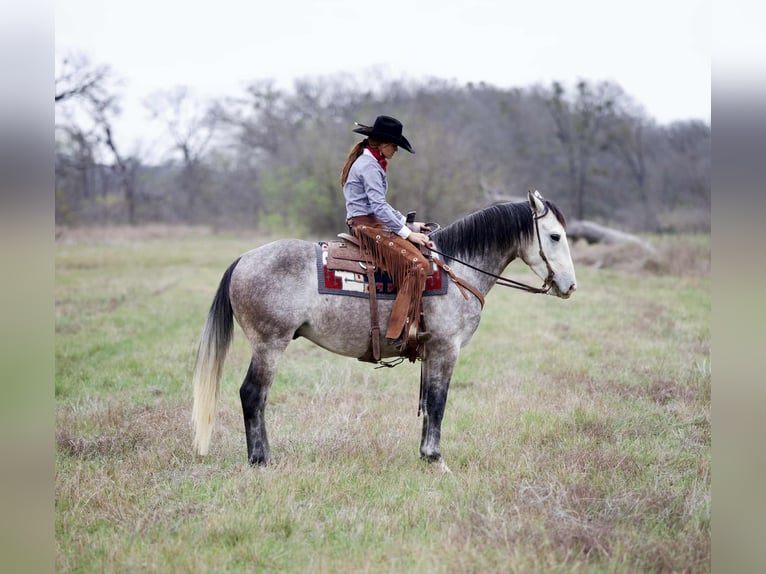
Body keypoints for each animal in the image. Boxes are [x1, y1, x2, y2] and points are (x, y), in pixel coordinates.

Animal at [192, 190, 577, 469]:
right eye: (555, 236)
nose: (570, 286)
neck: (456, 270)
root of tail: (243, 260)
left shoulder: (431, 351)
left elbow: (428, 403)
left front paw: (424, 456)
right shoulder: (446, 349)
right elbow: (438, 402)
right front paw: (436, 460)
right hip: (269, 344)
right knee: (252, 394)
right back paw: (259, 460)